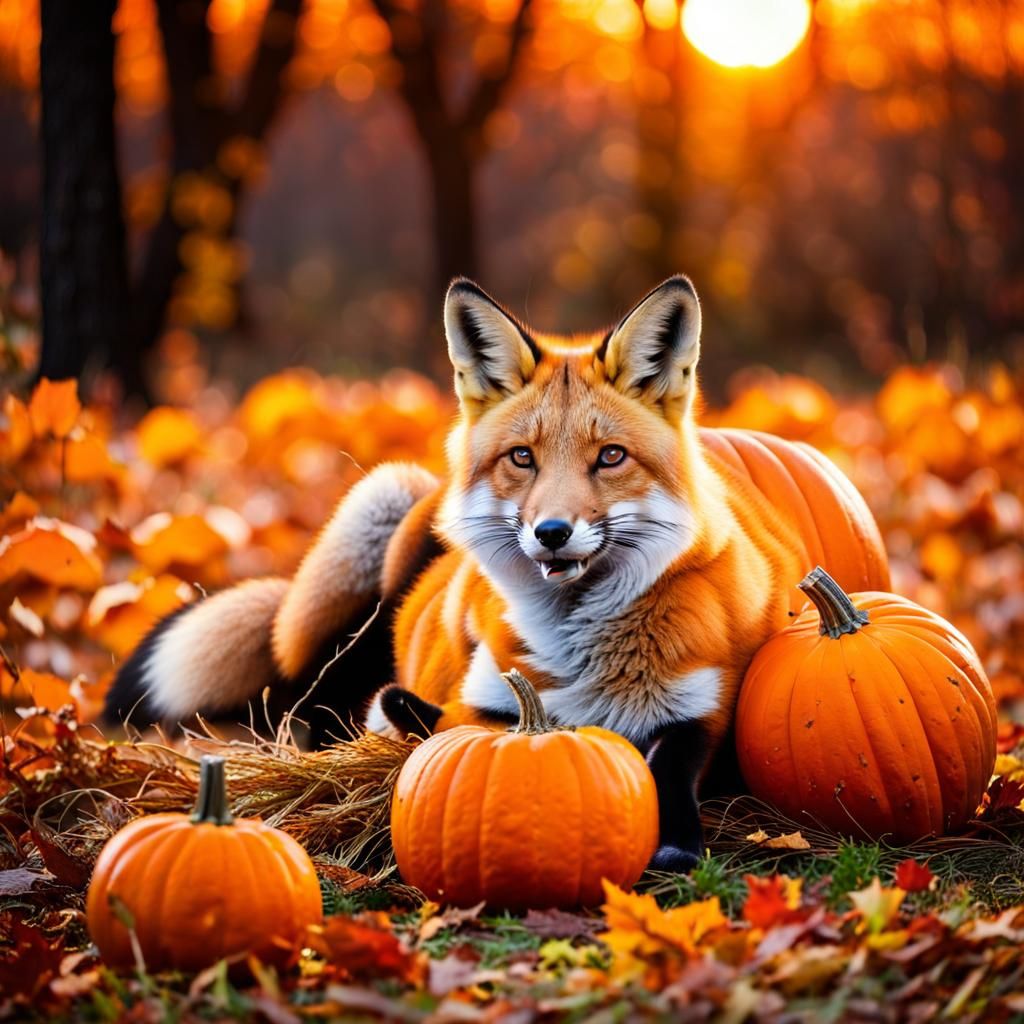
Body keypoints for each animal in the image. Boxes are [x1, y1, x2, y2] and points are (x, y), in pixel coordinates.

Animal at [106, 275, 890, 872]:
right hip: (383, 510)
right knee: (304, 697)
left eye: (609, 457)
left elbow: (670, 764)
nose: (553, 531)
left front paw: (671, 841)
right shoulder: (477, 703)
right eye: (523, 459)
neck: (583, 655)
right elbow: (444, 730)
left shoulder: (708, 711)